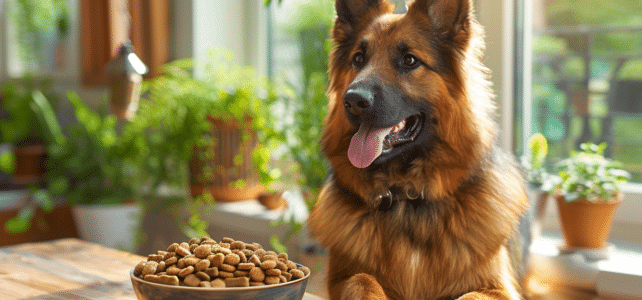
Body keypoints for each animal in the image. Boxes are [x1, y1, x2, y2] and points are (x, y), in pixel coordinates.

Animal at [308, 0, 528, 300]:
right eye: (358, 59)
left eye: (409, 60)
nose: (352, 100)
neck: (408, 197)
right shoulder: (341, 278)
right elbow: (362, 281)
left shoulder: (499, 289)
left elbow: (470, 296)